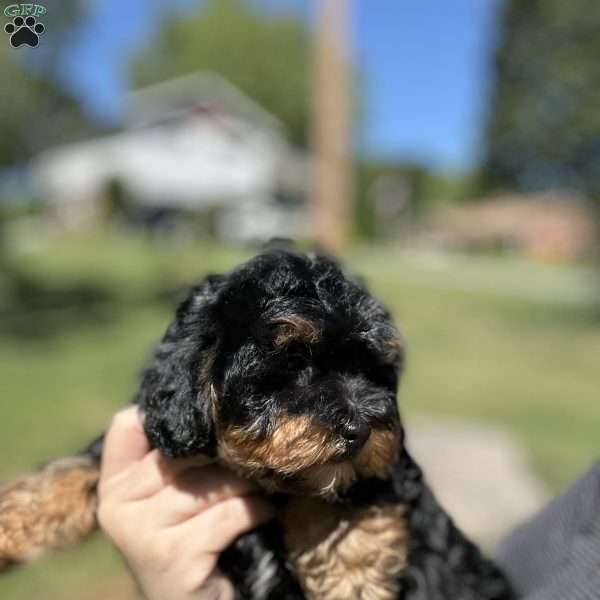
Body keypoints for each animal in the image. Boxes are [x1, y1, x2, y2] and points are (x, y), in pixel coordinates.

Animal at [0, 248, 516, 600]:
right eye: (291, 364)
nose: (360, 431)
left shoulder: (389, 464)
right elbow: (82, 464)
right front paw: (13, 521)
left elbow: (343, 495)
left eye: (375, 373)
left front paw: (347, 575)